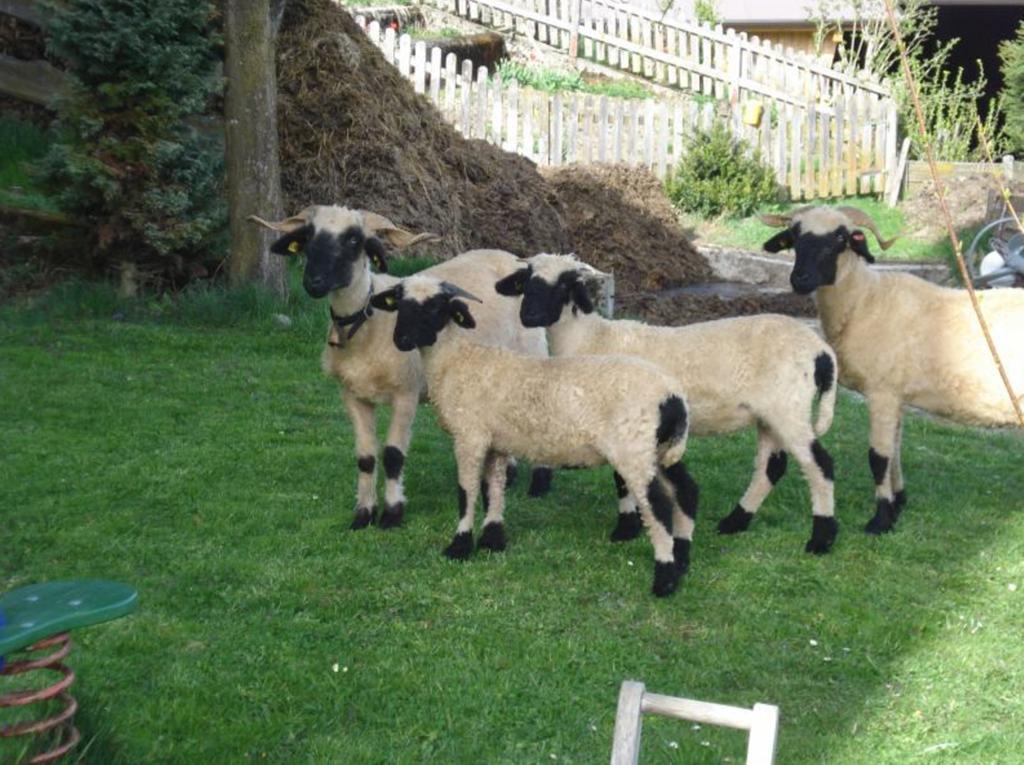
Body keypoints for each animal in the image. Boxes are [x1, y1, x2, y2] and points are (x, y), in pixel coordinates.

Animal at [248, 206, 552, 536]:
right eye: (309, 237)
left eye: (353, 239)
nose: (314, 282)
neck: (369, 322)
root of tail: (510, 257)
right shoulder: (352, 396)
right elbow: (365, 457)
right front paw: (363, 514)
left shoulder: (406, 394)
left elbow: (393, 456)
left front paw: (392, 513)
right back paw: (506, 475)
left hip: (532, 351)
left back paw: (539, 484)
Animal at [372, 274, 700, 598]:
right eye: (399, 304)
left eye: (435, 306)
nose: (401, 340)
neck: (455, 360)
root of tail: (673, 396)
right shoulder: (495, 441)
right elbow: (495, 488)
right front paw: (492, 540)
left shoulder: (469, 436)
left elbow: (467, 491)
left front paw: (459, 545)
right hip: (657, 449)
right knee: (685, 489)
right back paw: (681, 561)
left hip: (633, 449)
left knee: (657, 505)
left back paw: (664, 578)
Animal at [495, 253, 839, 553]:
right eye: (527, 282)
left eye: (565, 285)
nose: (529, 316)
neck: (590, 340)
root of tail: (821, 350)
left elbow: (621, 478)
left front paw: (626, 528)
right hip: (770, 413)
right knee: (772, 467)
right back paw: (735, 522)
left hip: (788, 406)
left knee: (819, 464)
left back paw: (820, 539)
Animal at [761, 206, 1024, 536]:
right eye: (795, 235)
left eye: (842, 238)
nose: (800, 279)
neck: (863, 301)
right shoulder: (897, 395)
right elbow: (896, 453)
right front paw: (898, 503)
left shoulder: (882, 392)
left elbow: (879, 458)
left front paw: (880, 520)